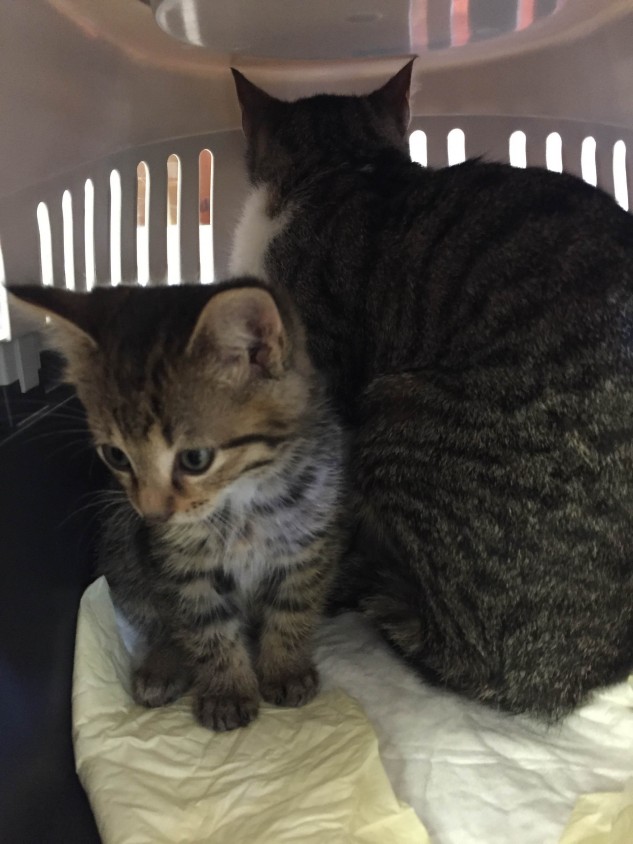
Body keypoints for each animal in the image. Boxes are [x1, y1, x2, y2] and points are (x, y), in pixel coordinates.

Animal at [9, 279, 346, 731]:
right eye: (116, 456)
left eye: (195, 459)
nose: (152, 514)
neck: (241, 501)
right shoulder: (180, 565)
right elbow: (203, 626)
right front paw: (226, 690)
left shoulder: (309, 542)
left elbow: (293, 606)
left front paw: (284, 669)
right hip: (120, 540)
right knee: (162, 620)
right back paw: (162, 666)